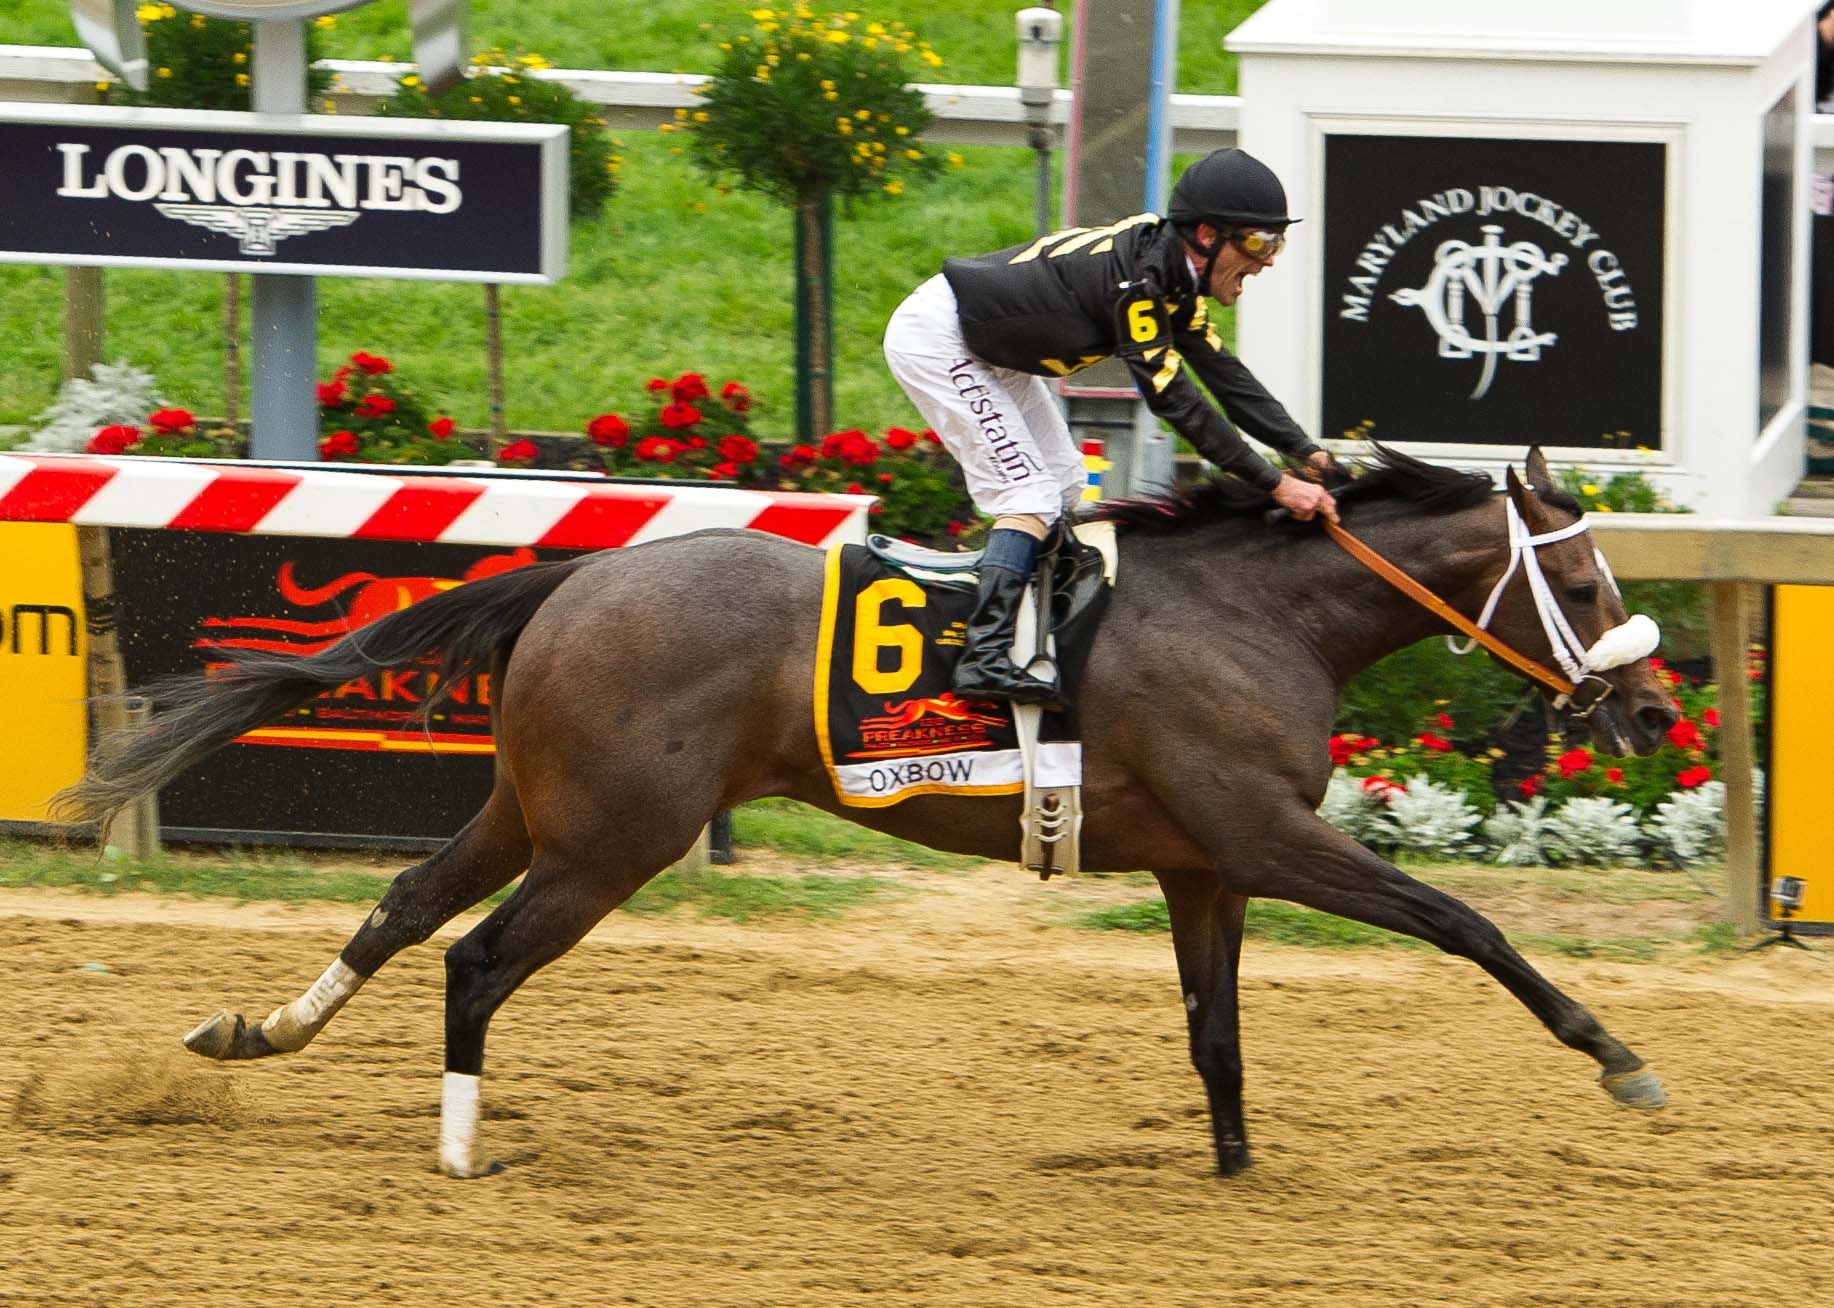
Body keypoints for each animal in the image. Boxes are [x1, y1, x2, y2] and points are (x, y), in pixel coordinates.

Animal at [54, 445, 1679, 1179]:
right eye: (1580, 576)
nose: (1652, 713)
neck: (1252, 614)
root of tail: (575, 576)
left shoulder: (1202, 868)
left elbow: (1215, 1032)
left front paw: (1230, 1169)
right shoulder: (1267, 836)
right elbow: (1460, 922)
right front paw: (1617, 1058)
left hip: (537, 809)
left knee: (401, 911)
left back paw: (253, 1032)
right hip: (615, 839)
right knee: (476, 958)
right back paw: (460, 1150)